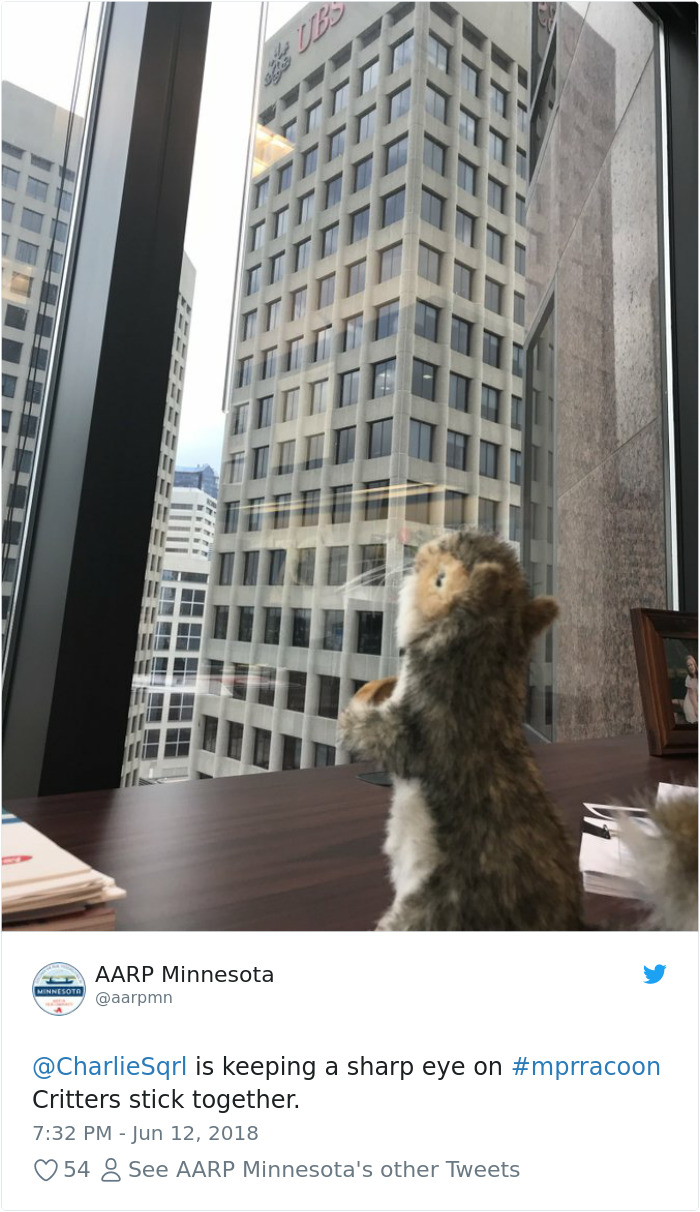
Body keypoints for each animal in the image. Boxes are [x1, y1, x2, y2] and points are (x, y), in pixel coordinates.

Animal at [337, 529, 582, 931]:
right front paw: (382, 683)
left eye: (440, 579)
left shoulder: (419, 725)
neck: (485, 662)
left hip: (432, 908)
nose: (423, 547)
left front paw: (360, 700)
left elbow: (365, 729)